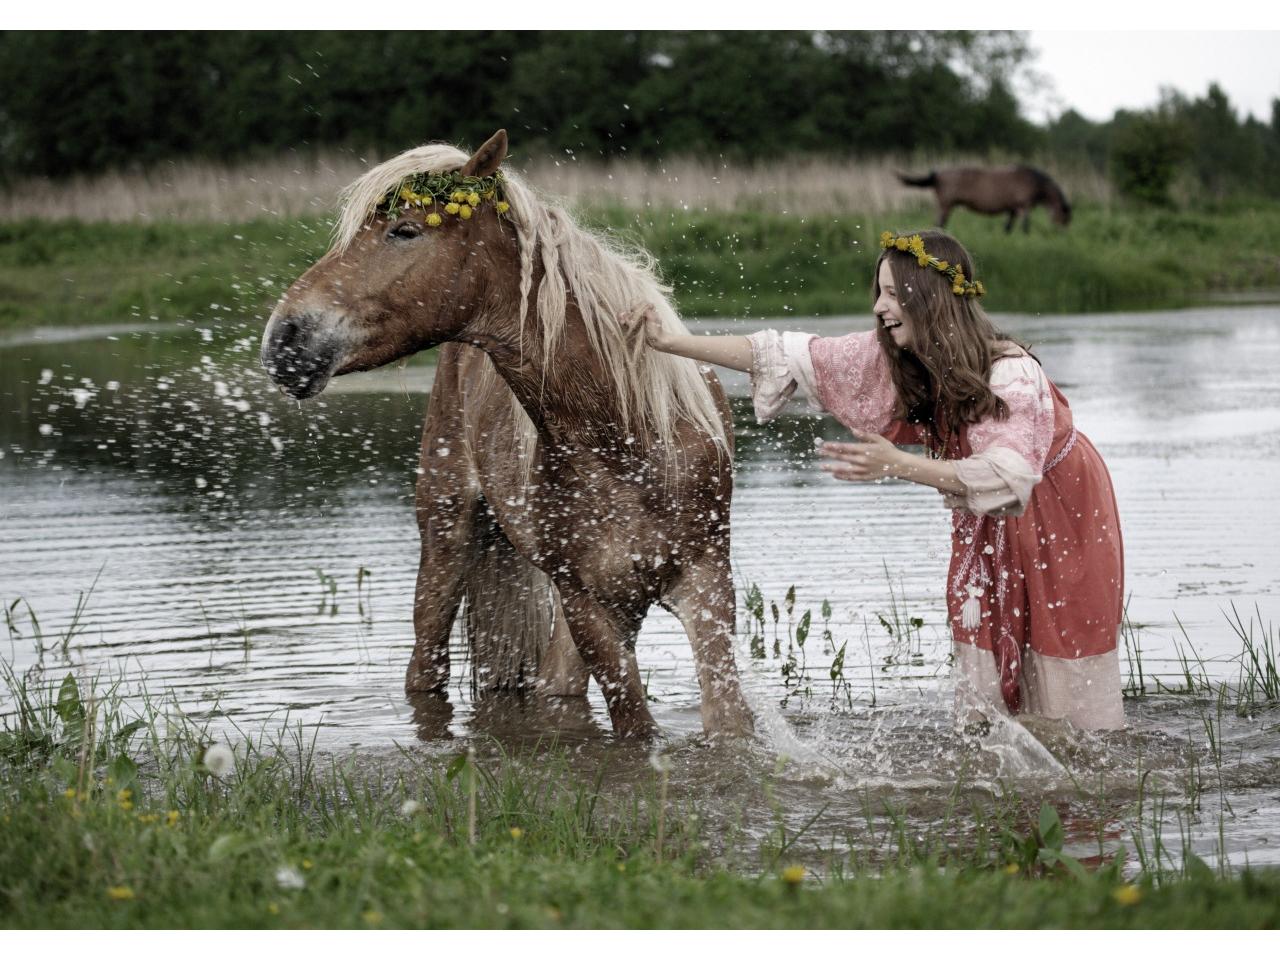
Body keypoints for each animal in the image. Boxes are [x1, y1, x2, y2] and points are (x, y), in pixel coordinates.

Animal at [261, 129, 752, 742]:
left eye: (405, 230)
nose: (283, 338)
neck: (628, 436)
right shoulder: (590, 606)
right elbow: (636, 726)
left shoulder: (706, 586)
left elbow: (726, 725)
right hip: (447, 540)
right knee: (427, 669)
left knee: (550, 687)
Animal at [901, 165, 1070, 232]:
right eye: (1064, 218)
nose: (1061, 233)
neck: (1033, 181)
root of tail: (936, 175)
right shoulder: (1024, 207)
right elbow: (1025, 227)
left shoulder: (1013, 210)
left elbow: (1007, 228)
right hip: (945, 206)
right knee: (938, 224)